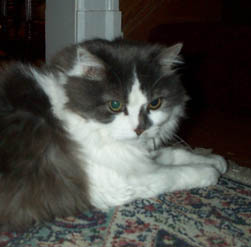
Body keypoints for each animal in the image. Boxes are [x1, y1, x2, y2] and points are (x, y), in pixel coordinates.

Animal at [0, 38, 227, 232]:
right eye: (115, 105)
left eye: (155, 103)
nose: (139, 129)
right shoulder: (120, 181)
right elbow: (175, 173)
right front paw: (210, 171)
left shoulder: (137, 157)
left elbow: (175, 154)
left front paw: (216, 160)